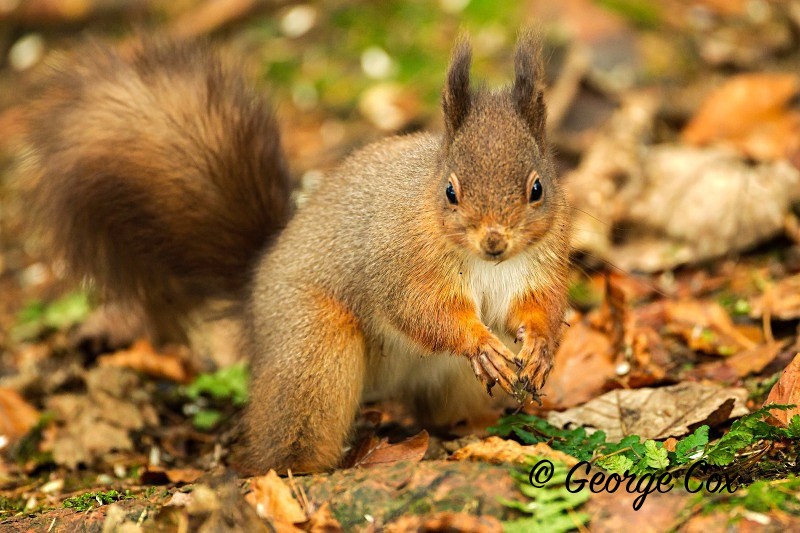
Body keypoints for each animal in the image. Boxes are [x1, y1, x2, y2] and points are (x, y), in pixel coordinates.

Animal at [20, 32, 571, 473]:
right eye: (451, 191)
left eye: (537, 188)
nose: (494, 241)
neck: (487, 265)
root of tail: (256, 284)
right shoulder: (401, 262)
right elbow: (421, 310)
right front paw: (480, 343)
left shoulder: (543, 264)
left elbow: (541, 307)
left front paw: (540, 349)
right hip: (313, 350)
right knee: (286, 439)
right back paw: (302, 470)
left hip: (445, 381)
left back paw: (483, 423)